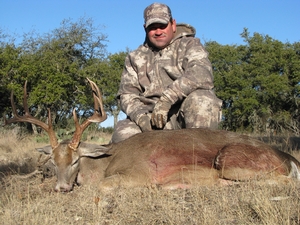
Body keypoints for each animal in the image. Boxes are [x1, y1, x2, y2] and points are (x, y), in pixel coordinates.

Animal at [4, 78, 300, 192]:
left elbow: (104, 185)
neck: (106, 162)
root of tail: (289, 158)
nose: (61, 187)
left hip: (230, 158)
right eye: (53, 161)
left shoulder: (138, 173)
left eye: (76, 159)